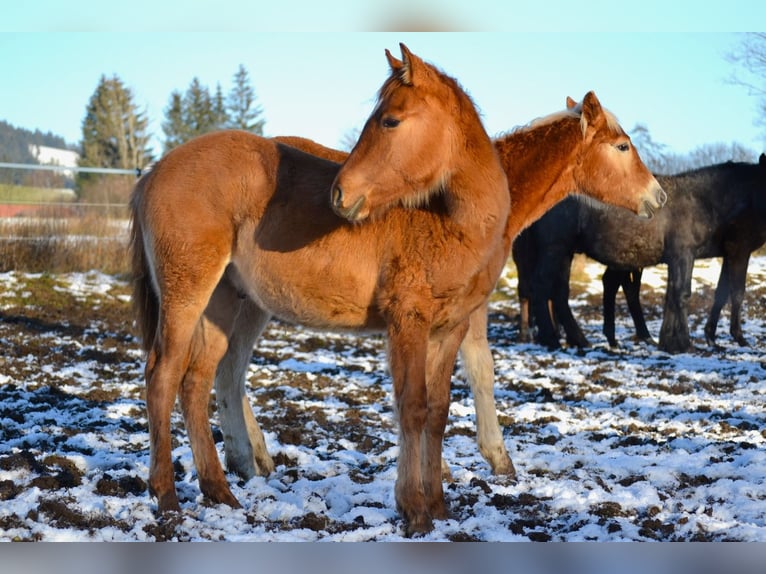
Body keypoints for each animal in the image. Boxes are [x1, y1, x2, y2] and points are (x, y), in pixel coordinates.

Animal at [202, 89, 664, 528]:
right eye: (623, 146)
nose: (657, 196)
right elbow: (475, 373)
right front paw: (491, 460)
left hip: (251, 301)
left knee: (230, 369)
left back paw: (252, 459)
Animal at [516, 155, 766, 356]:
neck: (700, 200)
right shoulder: (686, 254)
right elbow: (683, 295)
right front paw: (685, 344)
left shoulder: (680, 258)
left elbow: (672, 296)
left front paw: (669, 342)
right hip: (554, 249)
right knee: (541, 288)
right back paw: (552, 340)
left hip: (565, 252)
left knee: (560, 293)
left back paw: (579, 340)